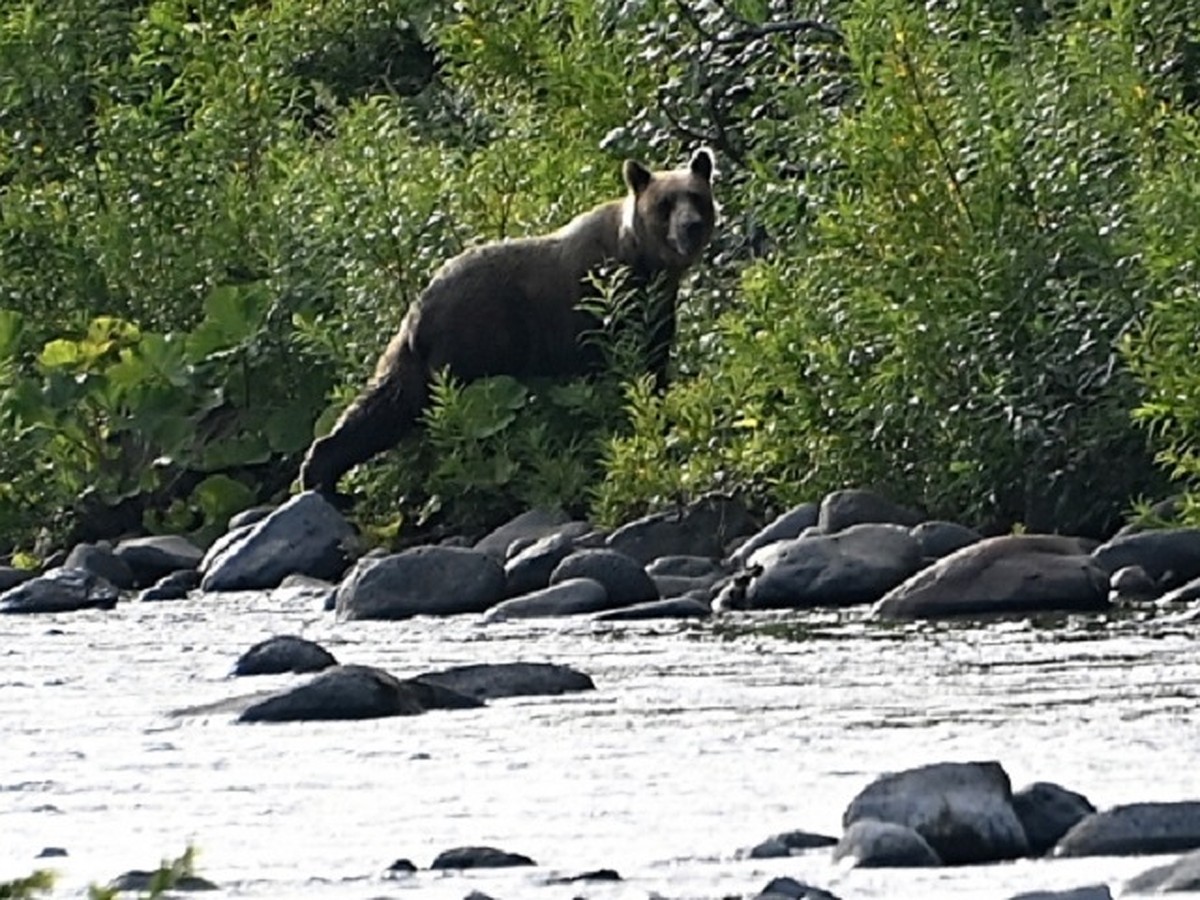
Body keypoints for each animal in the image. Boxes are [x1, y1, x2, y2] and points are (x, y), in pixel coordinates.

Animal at [298, 147, 715, 494]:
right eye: (665, 203)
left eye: (696, 196)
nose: (691, 225)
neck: (644, 260)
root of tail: (418, 309)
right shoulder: (602, 301)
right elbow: (624, 363)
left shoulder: (656, 306)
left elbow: (653, 359)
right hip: (473, 344)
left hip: (418, 356)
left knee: (385, 405)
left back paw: (322, 470)